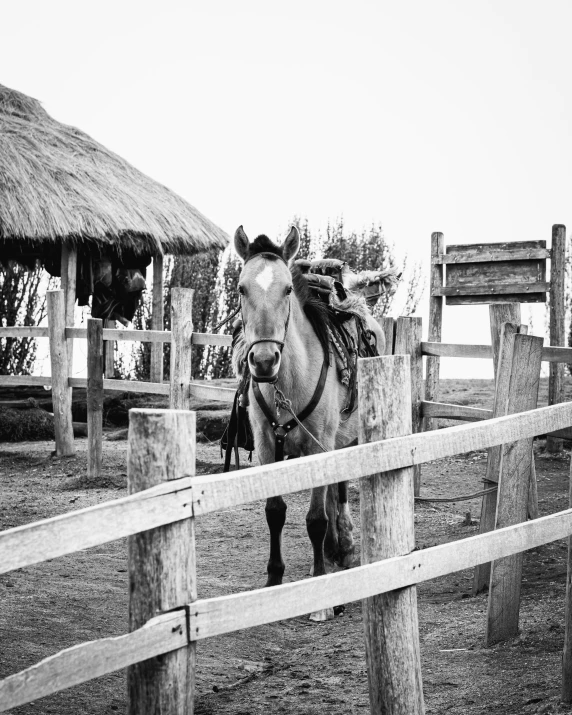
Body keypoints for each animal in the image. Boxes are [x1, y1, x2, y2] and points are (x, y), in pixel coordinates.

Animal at [232, 225, 388, 620]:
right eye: (241, 288)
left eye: (288, 288)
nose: (264, 361)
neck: (288, 384)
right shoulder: (267, 447)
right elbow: (275, 512)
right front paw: (274, 581)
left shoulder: (320, 445)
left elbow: (316, 519)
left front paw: (322, 598)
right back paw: (335, 550)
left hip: (347, 438)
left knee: (340, 489)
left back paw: (343, 546)